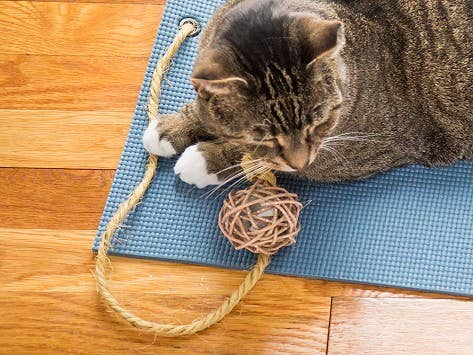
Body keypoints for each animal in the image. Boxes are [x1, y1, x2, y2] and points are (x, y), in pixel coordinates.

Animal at [142, 0, 470, 189]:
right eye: (264, 135)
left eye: (319, 122)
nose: (300, 161)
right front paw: (170, 127)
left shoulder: (352, 150)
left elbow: (259, 158)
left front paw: (204, 159)